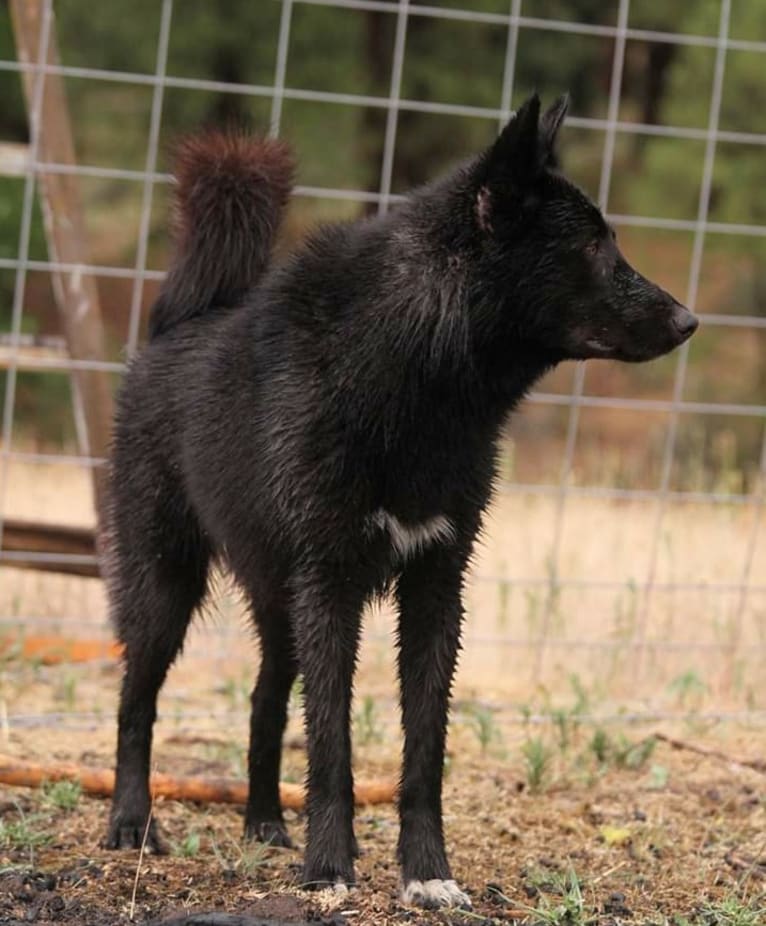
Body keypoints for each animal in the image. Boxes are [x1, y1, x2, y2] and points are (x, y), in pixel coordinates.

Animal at [105, 96, 700, 912]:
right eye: (593, 247)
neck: (411, 376)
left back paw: (265, 824)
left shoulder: (435, 591)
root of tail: (183, 319)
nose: (688, 320)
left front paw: (427, 872)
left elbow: (423, 754)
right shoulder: (332, 591)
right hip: (166, 588)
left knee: (264, 702)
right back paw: (131, 824)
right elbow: (333, 747)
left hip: (279, 605)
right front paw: (329, 869)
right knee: (136, 704)